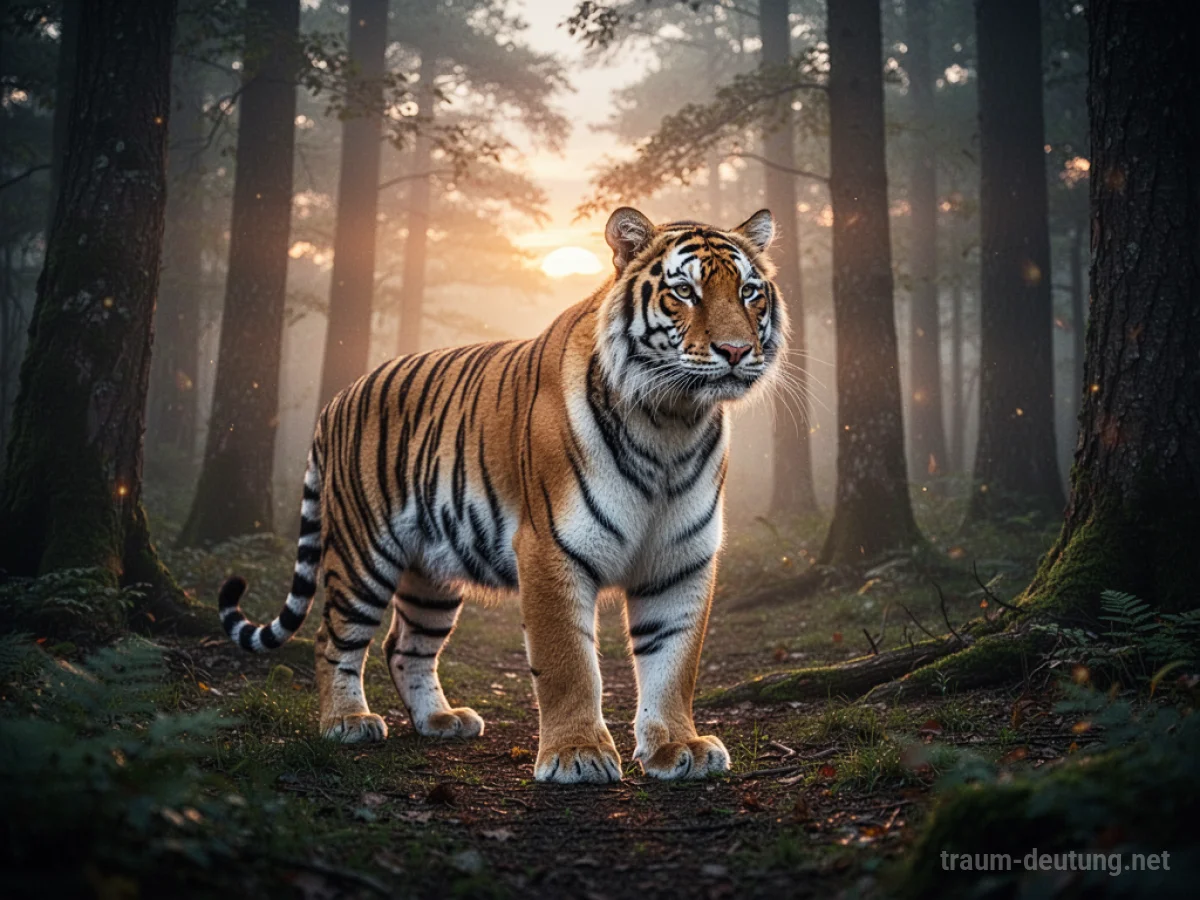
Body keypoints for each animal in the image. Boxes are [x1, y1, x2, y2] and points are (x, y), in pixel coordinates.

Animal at [218, 206, 786, 783]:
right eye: (685, 292)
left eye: (749, 292)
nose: (736, 351)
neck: (671, 424)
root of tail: (338, 397)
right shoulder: (552, 549)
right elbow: (567, 663)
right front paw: (576, 754)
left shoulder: (681, 559)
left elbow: (674, 661)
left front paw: (678, 747)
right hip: (362, 552)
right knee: (333, 637)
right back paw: (346, 721)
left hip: (431, 572)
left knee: (405, 646)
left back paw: (441, 720)